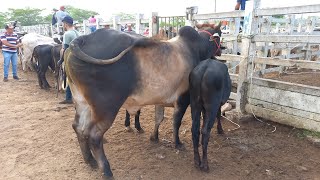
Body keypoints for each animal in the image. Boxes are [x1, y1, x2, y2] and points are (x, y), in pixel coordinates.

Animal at [64, 24, 221, 179]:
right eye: (219, 35)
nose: (221, 50)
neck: (194, 48)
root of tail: (82, 39)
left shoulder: (160, 100)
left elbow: (159, 118)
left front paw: (154, 137)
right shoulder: (183, 98)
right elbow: (176, 122)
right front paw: (177, 143)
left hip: (82, 102)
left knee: (78, 127)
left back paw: (89, 160)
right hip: (106, 108)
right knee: (94, 136)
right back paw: (107, 172)